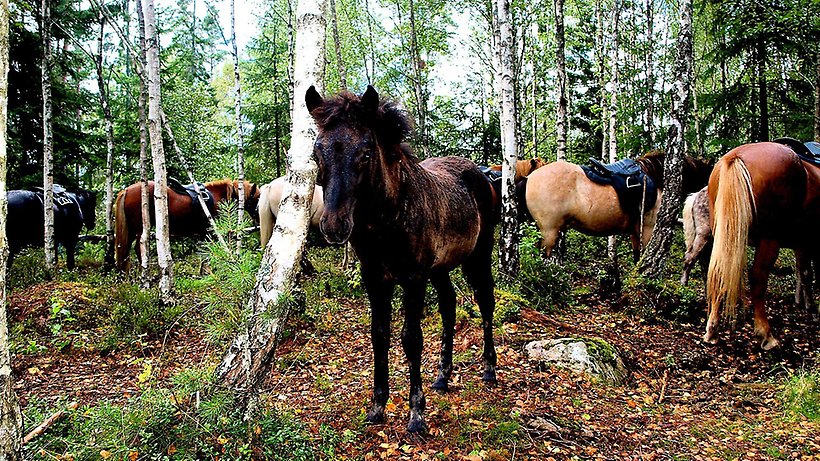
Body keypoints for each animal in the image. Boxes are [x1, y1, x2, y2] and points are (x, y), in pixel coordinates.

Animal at [113, 177, 258, 270]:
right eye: (257, 198)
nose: (258, 219)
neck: (218, 196)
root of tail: (126, 190)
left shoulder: (203, 233)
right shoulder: (209, 232)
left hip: (131, 230)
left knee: (125, 252)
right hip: (140, 229)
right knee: (138, 248)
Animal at [308, 85, 500, 432]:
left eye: (366, 153)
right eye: (317, 153)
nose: (333, 226)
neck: (388, 219)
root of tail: (482, 175)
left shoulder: (413, 278)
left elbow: (411, 339)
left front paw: (416, 414)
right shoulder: (375, 279)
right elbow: (379, 335)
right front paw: (377, 406)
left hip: (478, 255)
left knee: (485, 300)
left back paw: (489, 369)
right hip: (440, 268)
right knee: (449, 305)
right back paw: (442, 376)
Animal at [524, 151, 712, 258]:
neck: (657, 178)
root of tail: (530, 178)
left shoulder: (636, 231)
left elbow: (637, 256)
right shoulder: (648, 228)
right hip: (549, 231)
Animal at [704, 140, 820, 348]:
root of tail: (735, 157)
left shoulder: (803, 243)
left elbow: (805, 274)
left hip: (725, 235)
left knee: (718, 272)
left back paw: (712, 331)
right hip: (770, 238)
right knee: (758, 277)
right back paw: (766, 334)